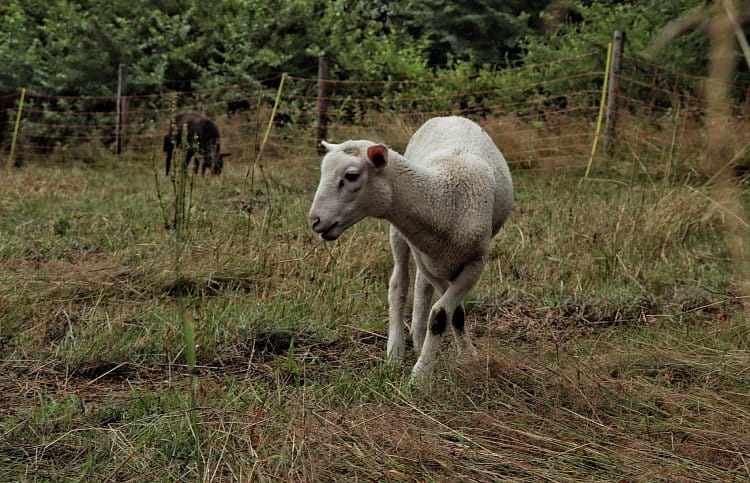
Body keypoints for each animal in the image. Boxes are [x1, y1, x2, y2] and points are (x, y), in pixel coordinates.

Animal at [308, 115, 516, 384]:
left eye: (351, 176)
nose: (314, 220)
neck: (445, 203)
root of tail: (450, 117)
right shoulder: (429, 263)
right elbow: (449, 312)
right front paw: (422, 375)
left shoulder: (474, 263)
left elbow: (442, 315)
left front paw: (457, 359)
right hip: (400, 237)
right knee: (400, 284)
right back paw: (396, 349)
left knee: (420, 288)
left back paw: (417, 340)